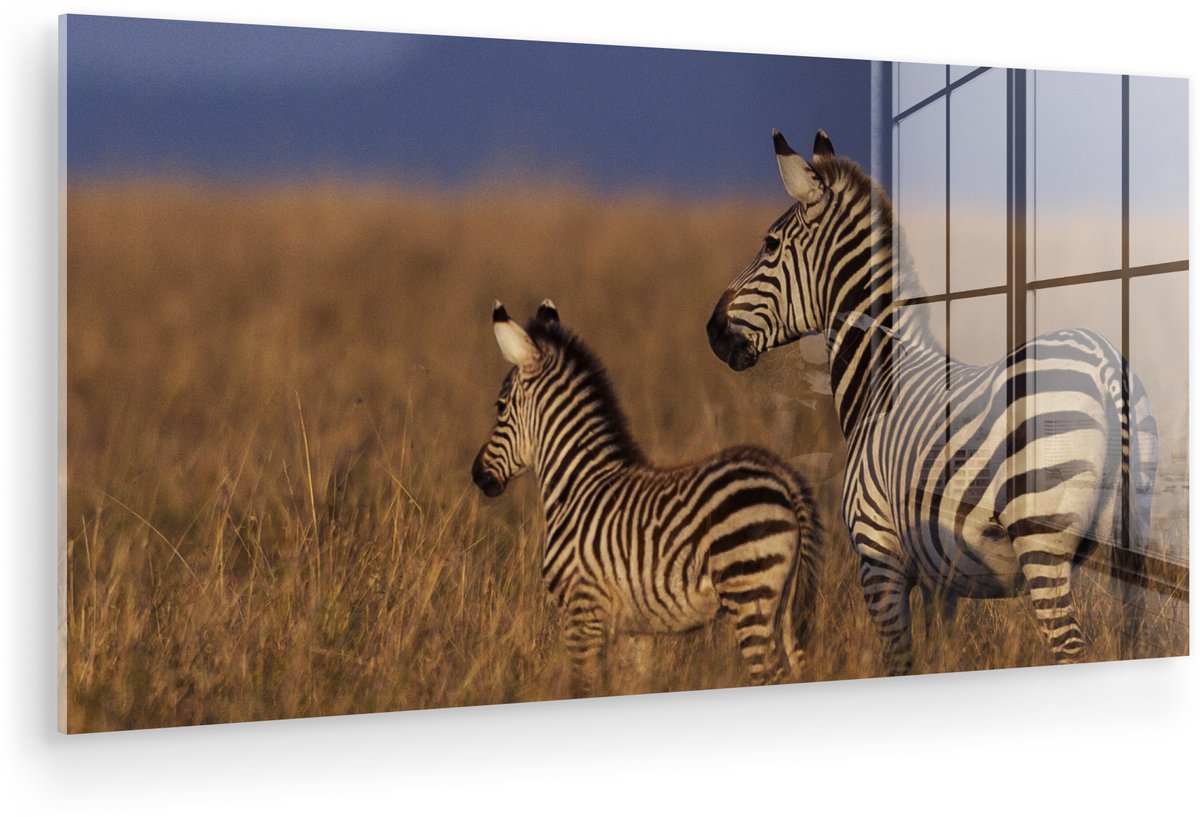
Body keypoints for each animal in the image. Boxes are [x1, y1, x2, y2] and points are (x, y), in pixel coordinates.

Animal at [472, 299, 824, 695]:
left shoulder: (582, 608)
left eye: (500, 407)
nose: (477, 475)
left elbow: (585, 685)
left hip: (749, 592)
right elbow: (635, 685)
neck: (577, 484)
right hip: (784, 601)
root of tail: (785, 477)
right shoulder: (636, 629)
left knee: (770, 673)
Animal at [706, 129, 1157, 675]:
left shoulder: (878, 558)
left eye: (770, 245)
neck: (878, 382)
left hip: (1041, 541)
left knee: (1071, 648)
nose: (712, 331)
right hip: (1132, 536)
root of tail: (1105, 365)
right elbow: (943, 656)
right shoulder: (941, 579)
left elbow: (899, 660)